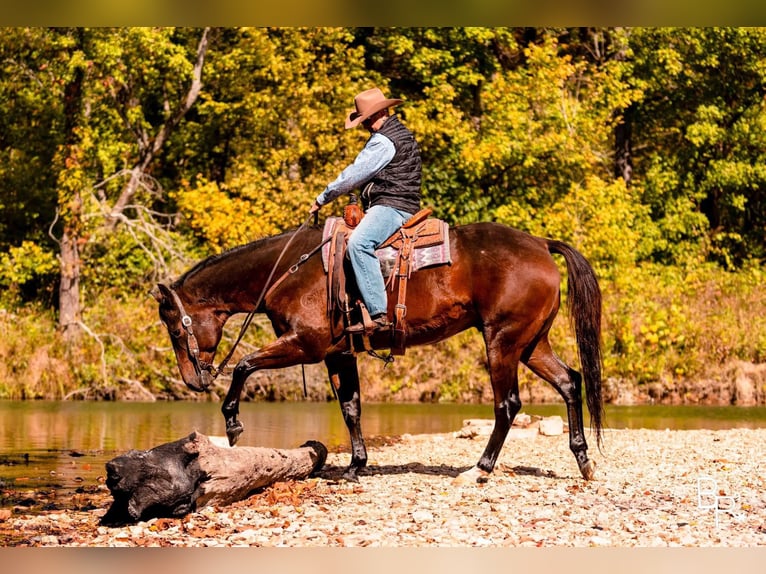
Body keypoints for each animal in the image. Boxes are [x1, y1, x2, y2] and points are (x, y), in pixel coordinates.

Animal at [152, 222, 608, 486]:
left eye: (174, 327)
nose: (192, 380)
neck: (289, 272)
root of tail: (541, 244)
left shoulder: (305, 345)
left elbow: (244, 366)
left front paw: (232, 423)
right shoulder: (338, 355)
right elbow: (351, 408)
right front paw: (355, 466)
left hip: (502, 342)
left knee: (507, 404)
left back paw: (479, 469)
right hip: (532, 343)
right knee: (570, 382)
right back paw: (583, 461)